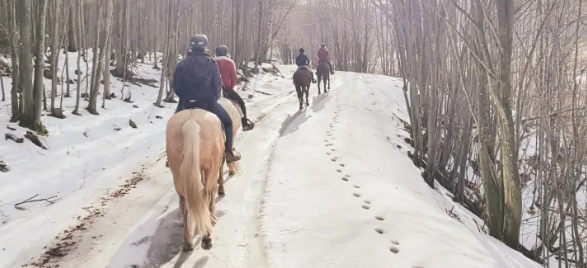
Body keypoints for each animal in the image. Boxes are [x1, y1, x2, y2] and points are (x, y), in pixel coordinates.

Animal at [168, 108, 227, 250]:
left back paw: (188, 241)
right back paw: (206, 238)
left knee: (184, 200)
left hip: (177, 171)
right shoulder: (213, 168)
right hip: (210, 167)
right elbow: (212, 191)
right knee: (205, 194)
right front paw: (212, 216)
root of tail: (191, 121)